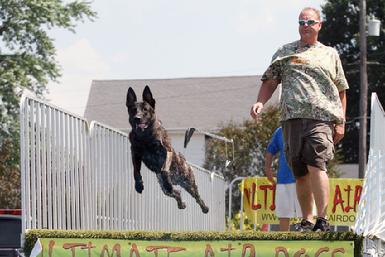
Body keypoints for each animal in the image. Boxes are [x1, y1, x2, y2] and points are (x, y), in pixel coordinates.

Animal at [125, 85, 208, 213]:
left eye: (145, 109)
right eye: (133, 109)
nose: (137, 118)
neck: (145, 137)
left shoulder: (166, 151)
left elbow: (164, 169)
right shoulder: (135, 153)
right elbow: (136, 171)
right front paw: (139, 185)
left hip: (189, 182)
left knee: (197, 196)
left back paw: (204, 208)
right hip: (164, 189)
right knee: (176, 192)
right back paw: (181, 204)